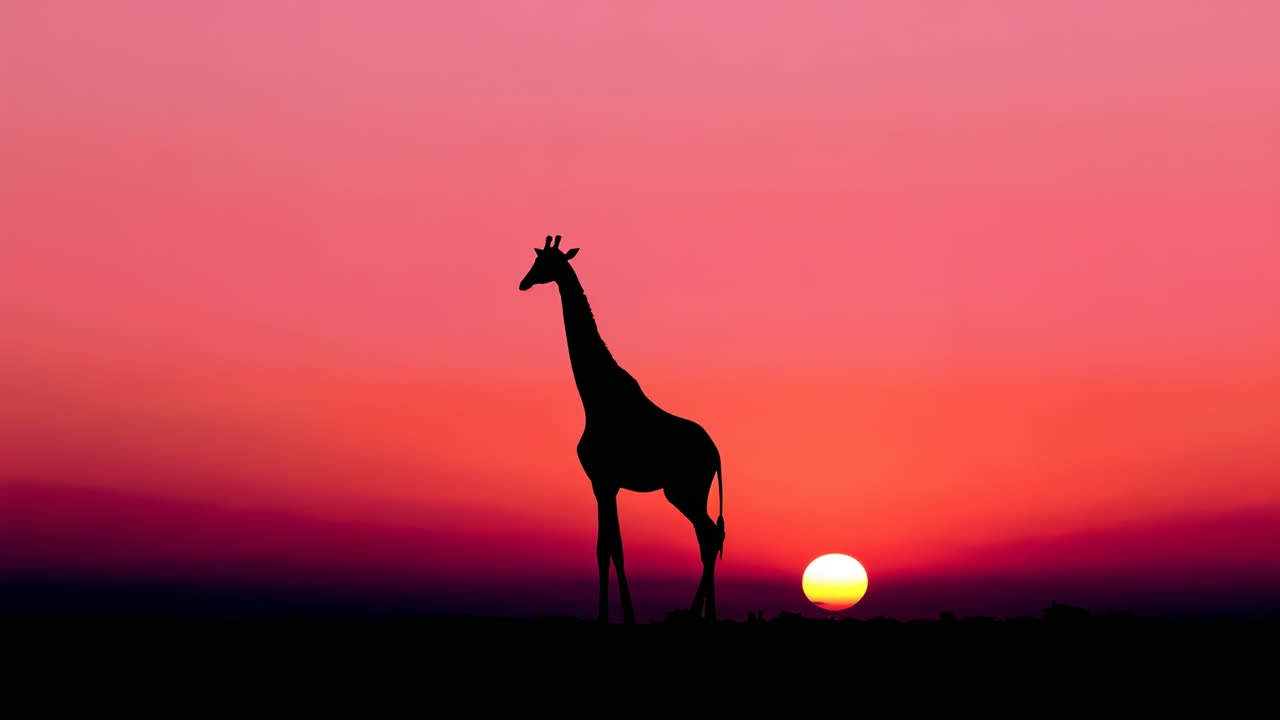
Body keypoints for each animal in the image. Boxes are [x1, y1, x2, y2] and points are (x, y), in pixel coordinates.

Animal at [519, 234, 725, 623]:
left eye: (545, 264)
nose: (523, 283)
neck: (594, 395)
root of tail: (716, 454)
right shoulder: (606, 484)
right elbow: (608, 548)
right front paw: (617, 616)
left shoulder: (602, 480)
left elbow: (610, 548)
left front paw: (614, 617)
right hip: (692, 491)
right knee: (712, 536)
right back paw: (707, 616)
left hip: (683, 490)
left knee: (709, 536)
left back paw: (697, 616)